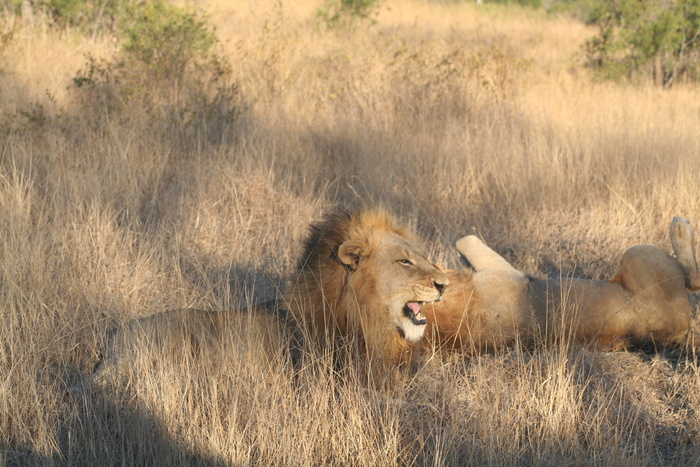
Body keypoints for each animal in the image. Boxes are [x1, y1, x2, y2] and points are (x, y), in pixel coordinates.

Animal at [426, 218, 700, 354]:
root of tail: (679, 331)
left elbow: (460, 242)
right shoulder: (506, 273)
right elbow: (465, 239)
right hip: (638, 254)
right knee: (693, 277)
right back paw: (680, 225)